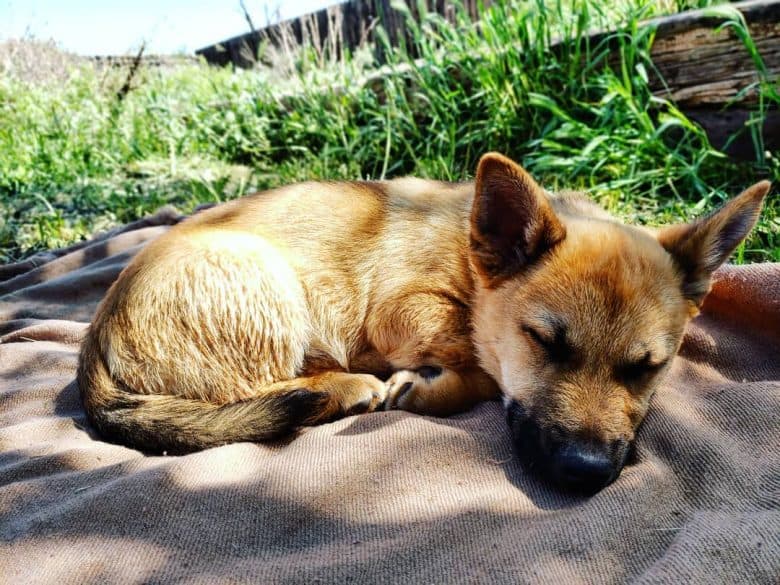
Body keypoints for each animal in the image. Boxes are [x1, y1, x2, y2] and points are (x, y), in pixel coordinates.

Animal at [76, 153, 772, 490]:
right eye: (543, 342)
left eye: (648, 368)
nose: (585, 473)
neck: (469, 256)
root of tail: (93, 344)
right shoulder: (401, 309)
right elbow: (478, 360)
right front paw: (434, 383)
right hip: (258, 273)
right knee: (248, 395)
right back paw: (340, 386)